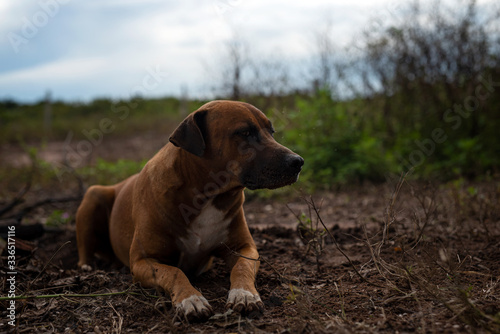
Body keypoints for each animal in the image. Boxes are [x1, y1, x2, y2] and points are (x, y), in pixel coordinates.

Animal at [75, 100, 302, 320]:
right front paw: (190, 299)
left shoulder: (245, 248)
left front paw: (244, 294)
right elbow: (174, 272)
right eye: (244, 132)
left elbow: (242, 267)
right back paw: (86, 268)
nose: (298, 162)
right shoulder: (142, 261)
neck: (207, 195)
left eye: (271, 131)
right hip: (93, 195)